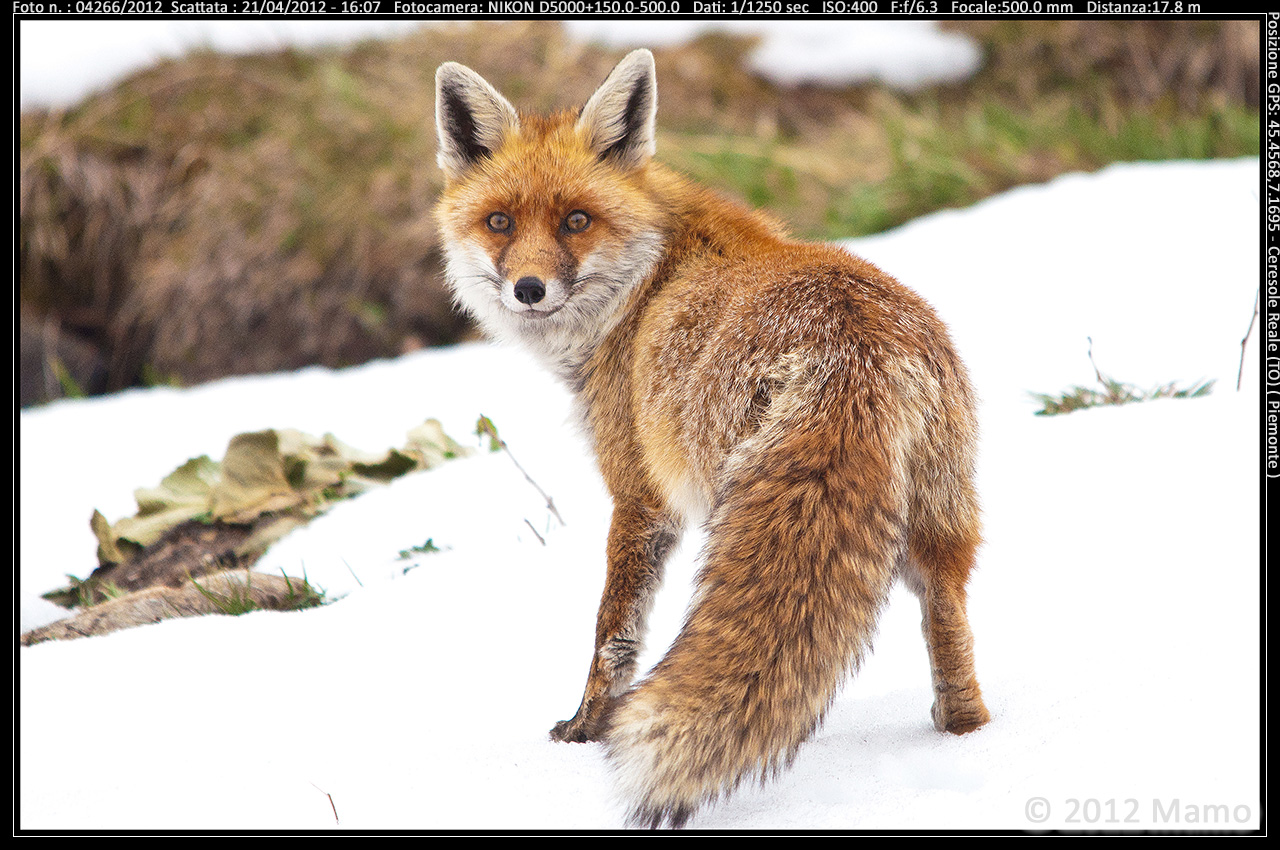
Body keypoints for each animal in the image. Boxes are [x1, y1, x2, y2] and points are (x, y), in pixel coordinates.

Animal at [433, 49, 990, 828]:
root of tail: (856, 348)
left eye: (576, 220)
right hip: (937, 519)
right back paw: (960, 734)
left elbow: (613, 633)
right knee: (947, 618)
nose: (530, 289)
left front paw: (586, 729)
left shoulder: (641, 497)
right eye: (499, 222)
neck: (644, 286)